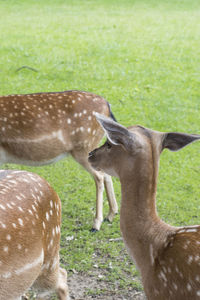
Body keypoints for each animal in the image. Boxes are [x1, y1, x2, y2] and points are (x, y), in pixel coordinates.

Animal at [0, 90, 118, 231]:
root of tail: (107, 106)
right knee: (105, 174)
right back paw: (110, 215)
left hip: (84, 147)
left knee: (99, 177)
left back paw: (96, 224)